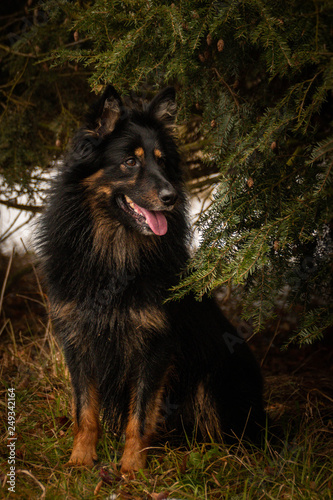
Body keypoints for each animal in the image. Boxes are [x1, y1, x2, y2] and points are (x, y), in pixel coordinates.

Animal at [37, 85, 264, 472]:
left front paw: (131, 468)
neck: (116, 253)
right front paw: (80, 461)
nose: (170, 198)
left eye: (162, 161)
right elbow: (86, 411)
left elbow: (140, 416)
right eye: (131, 162)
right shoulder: (78, 339)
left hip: (213, 380)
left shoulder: (155, 346)